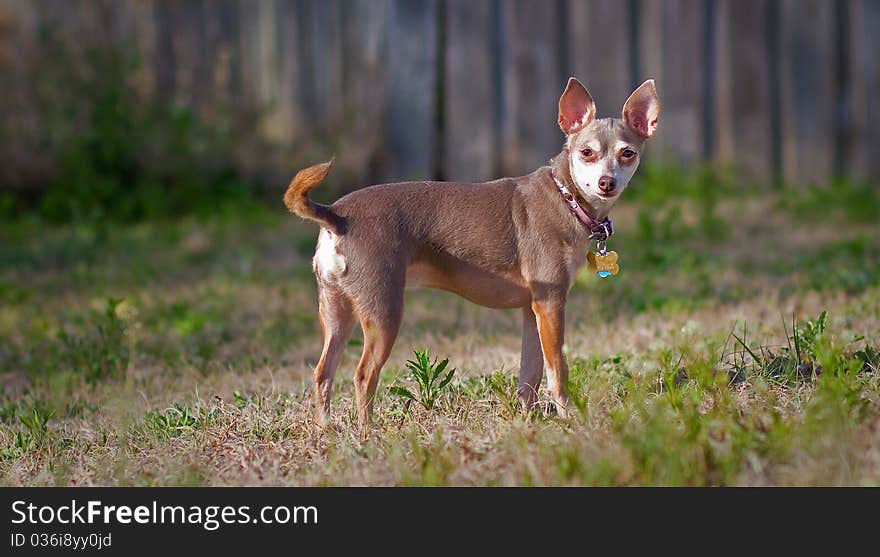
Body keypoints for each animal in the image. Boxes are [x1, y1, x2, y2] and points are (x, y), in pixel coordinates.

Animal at [288, 77, 660, 430]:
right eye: (586, 152)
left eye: (628, 154)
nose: (607, 182)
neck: (566, 197)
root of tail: (337, 216)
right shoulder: (552, 304)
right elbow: (558, 371)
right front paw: (569, 417)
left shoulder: (533, 310)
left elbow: (530, 374)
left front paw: (529, 420)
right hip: (384, 313)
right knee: (364, 375)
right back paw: (368, 433)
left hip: (337, 310)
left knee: (323, 373)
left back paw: (326, 430)